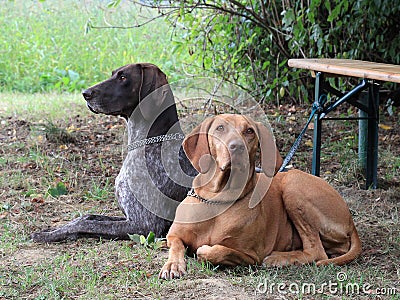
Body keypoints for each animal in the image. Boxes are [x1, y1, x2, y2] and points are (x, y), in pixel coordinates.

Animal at [32, 62, 198, 241]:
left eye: (123, 77)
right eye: (113, 74)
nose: (85, 93)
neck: (152, 142)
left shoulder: (144, 225)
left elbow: (86, 223)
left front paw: (48, 235)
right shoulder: (127, 217)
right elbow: (86, 217)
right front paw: (53, 230)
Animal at [159, 113, 362, 278]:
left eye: (249, 131)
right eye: (220, 128)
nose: (236, 147)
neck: (218, 199)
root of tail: (350, 220)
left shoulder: (251, 255)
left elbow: (217, 251)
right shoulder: (174, 235)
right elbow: (176, 245)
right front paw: (173, 265)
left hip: (293, 184)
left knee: (316, 252)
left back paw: (279, 258)